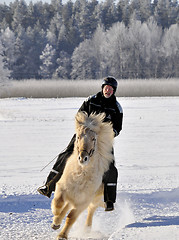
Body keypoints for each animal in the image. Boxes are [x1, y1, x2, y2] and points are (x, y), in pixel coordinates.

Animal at [51, 111, 114, 239]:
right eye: (78, 137)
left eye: (94, 138)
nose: (82, 158)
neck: (80, 174)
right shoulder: (62, 188)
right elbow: (58, 202)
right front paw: (55, 218)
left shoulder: (83, 201)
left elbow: (71, 217)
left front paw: (62, 236)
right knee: (67, 205)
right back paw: (56, 222)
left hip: (94, 198)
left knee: (91, 210)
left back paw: (87, 229)